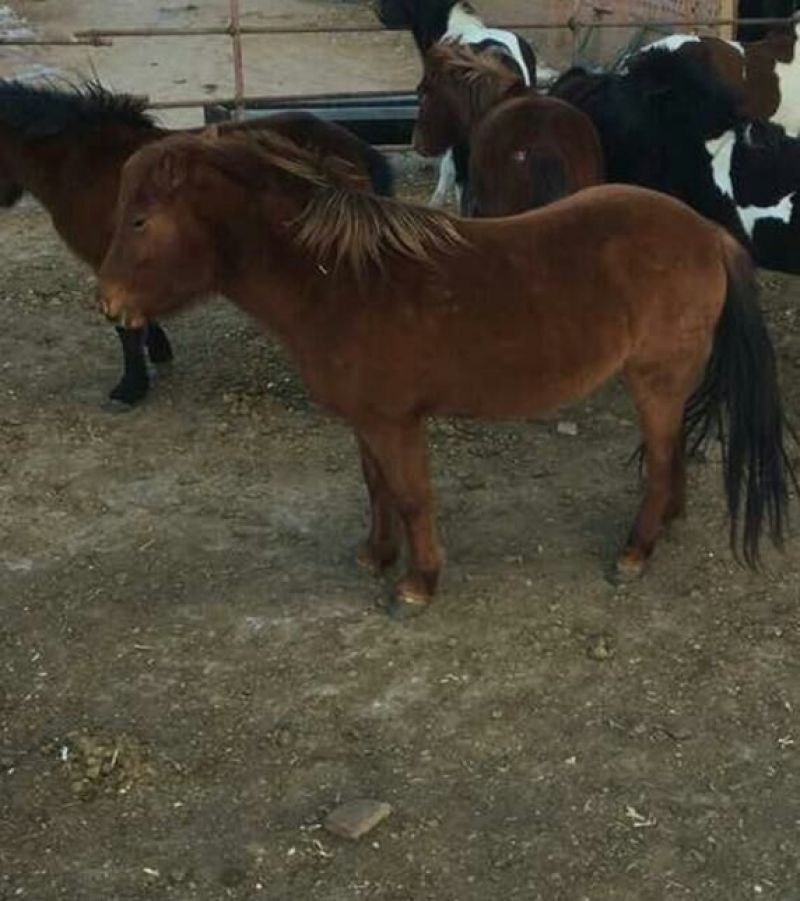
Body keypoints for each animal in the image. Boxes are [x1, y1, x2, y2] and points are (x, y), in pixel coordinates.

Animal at [97, 131, 794, 618]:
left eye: (139, 221)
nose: (109, 305)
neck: (341, 281)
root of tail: (706, 233)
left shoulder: (395, 422)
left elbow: (410, 496)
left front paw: (417, 584)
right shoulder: (368, 421)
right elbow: (376, 487)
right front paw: (376, 555)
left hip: (655, 380)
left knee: (661, 457)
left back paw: (635, 550)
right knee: (671, 457)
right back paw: (667, 522)